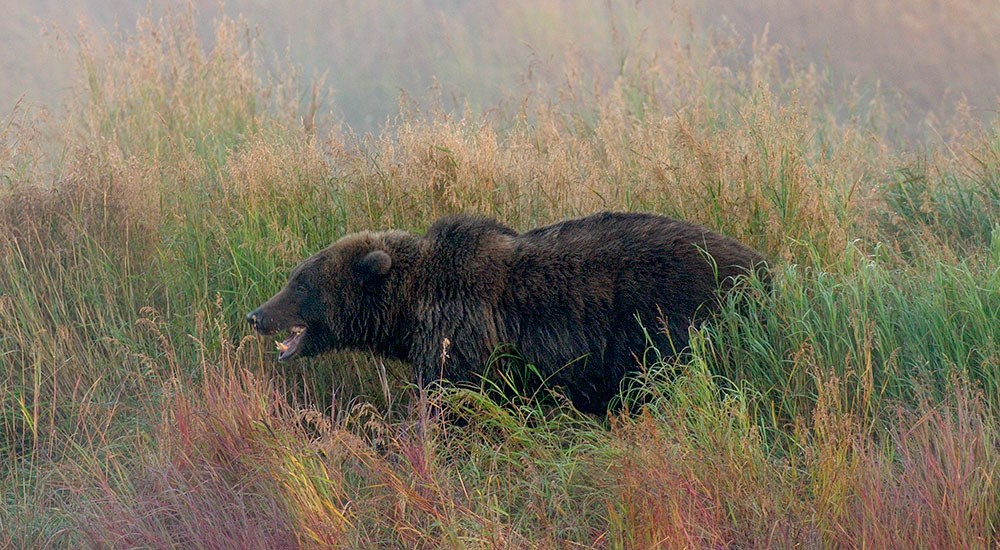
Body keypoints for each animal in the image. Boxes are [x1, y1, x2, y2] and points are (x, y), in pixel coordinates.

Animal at [248, 211, 764, 414]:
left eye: (301, 282)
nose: (256, 315)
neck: (409, 309)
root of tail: (762, 263)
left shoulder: (462, 337)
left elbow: (456, 403)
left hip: (673, 320)